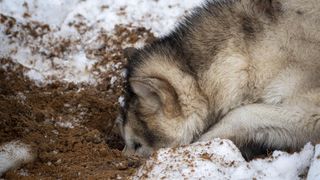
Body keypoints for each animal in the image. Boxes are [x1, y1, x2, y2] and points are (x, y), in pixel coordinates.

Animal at [117, 0, 320, 158]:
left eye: (137, 145)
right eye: (126, 143)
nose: (120, 161)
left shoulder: (309, 110)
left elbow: (240, 115)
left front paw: (200, 146)